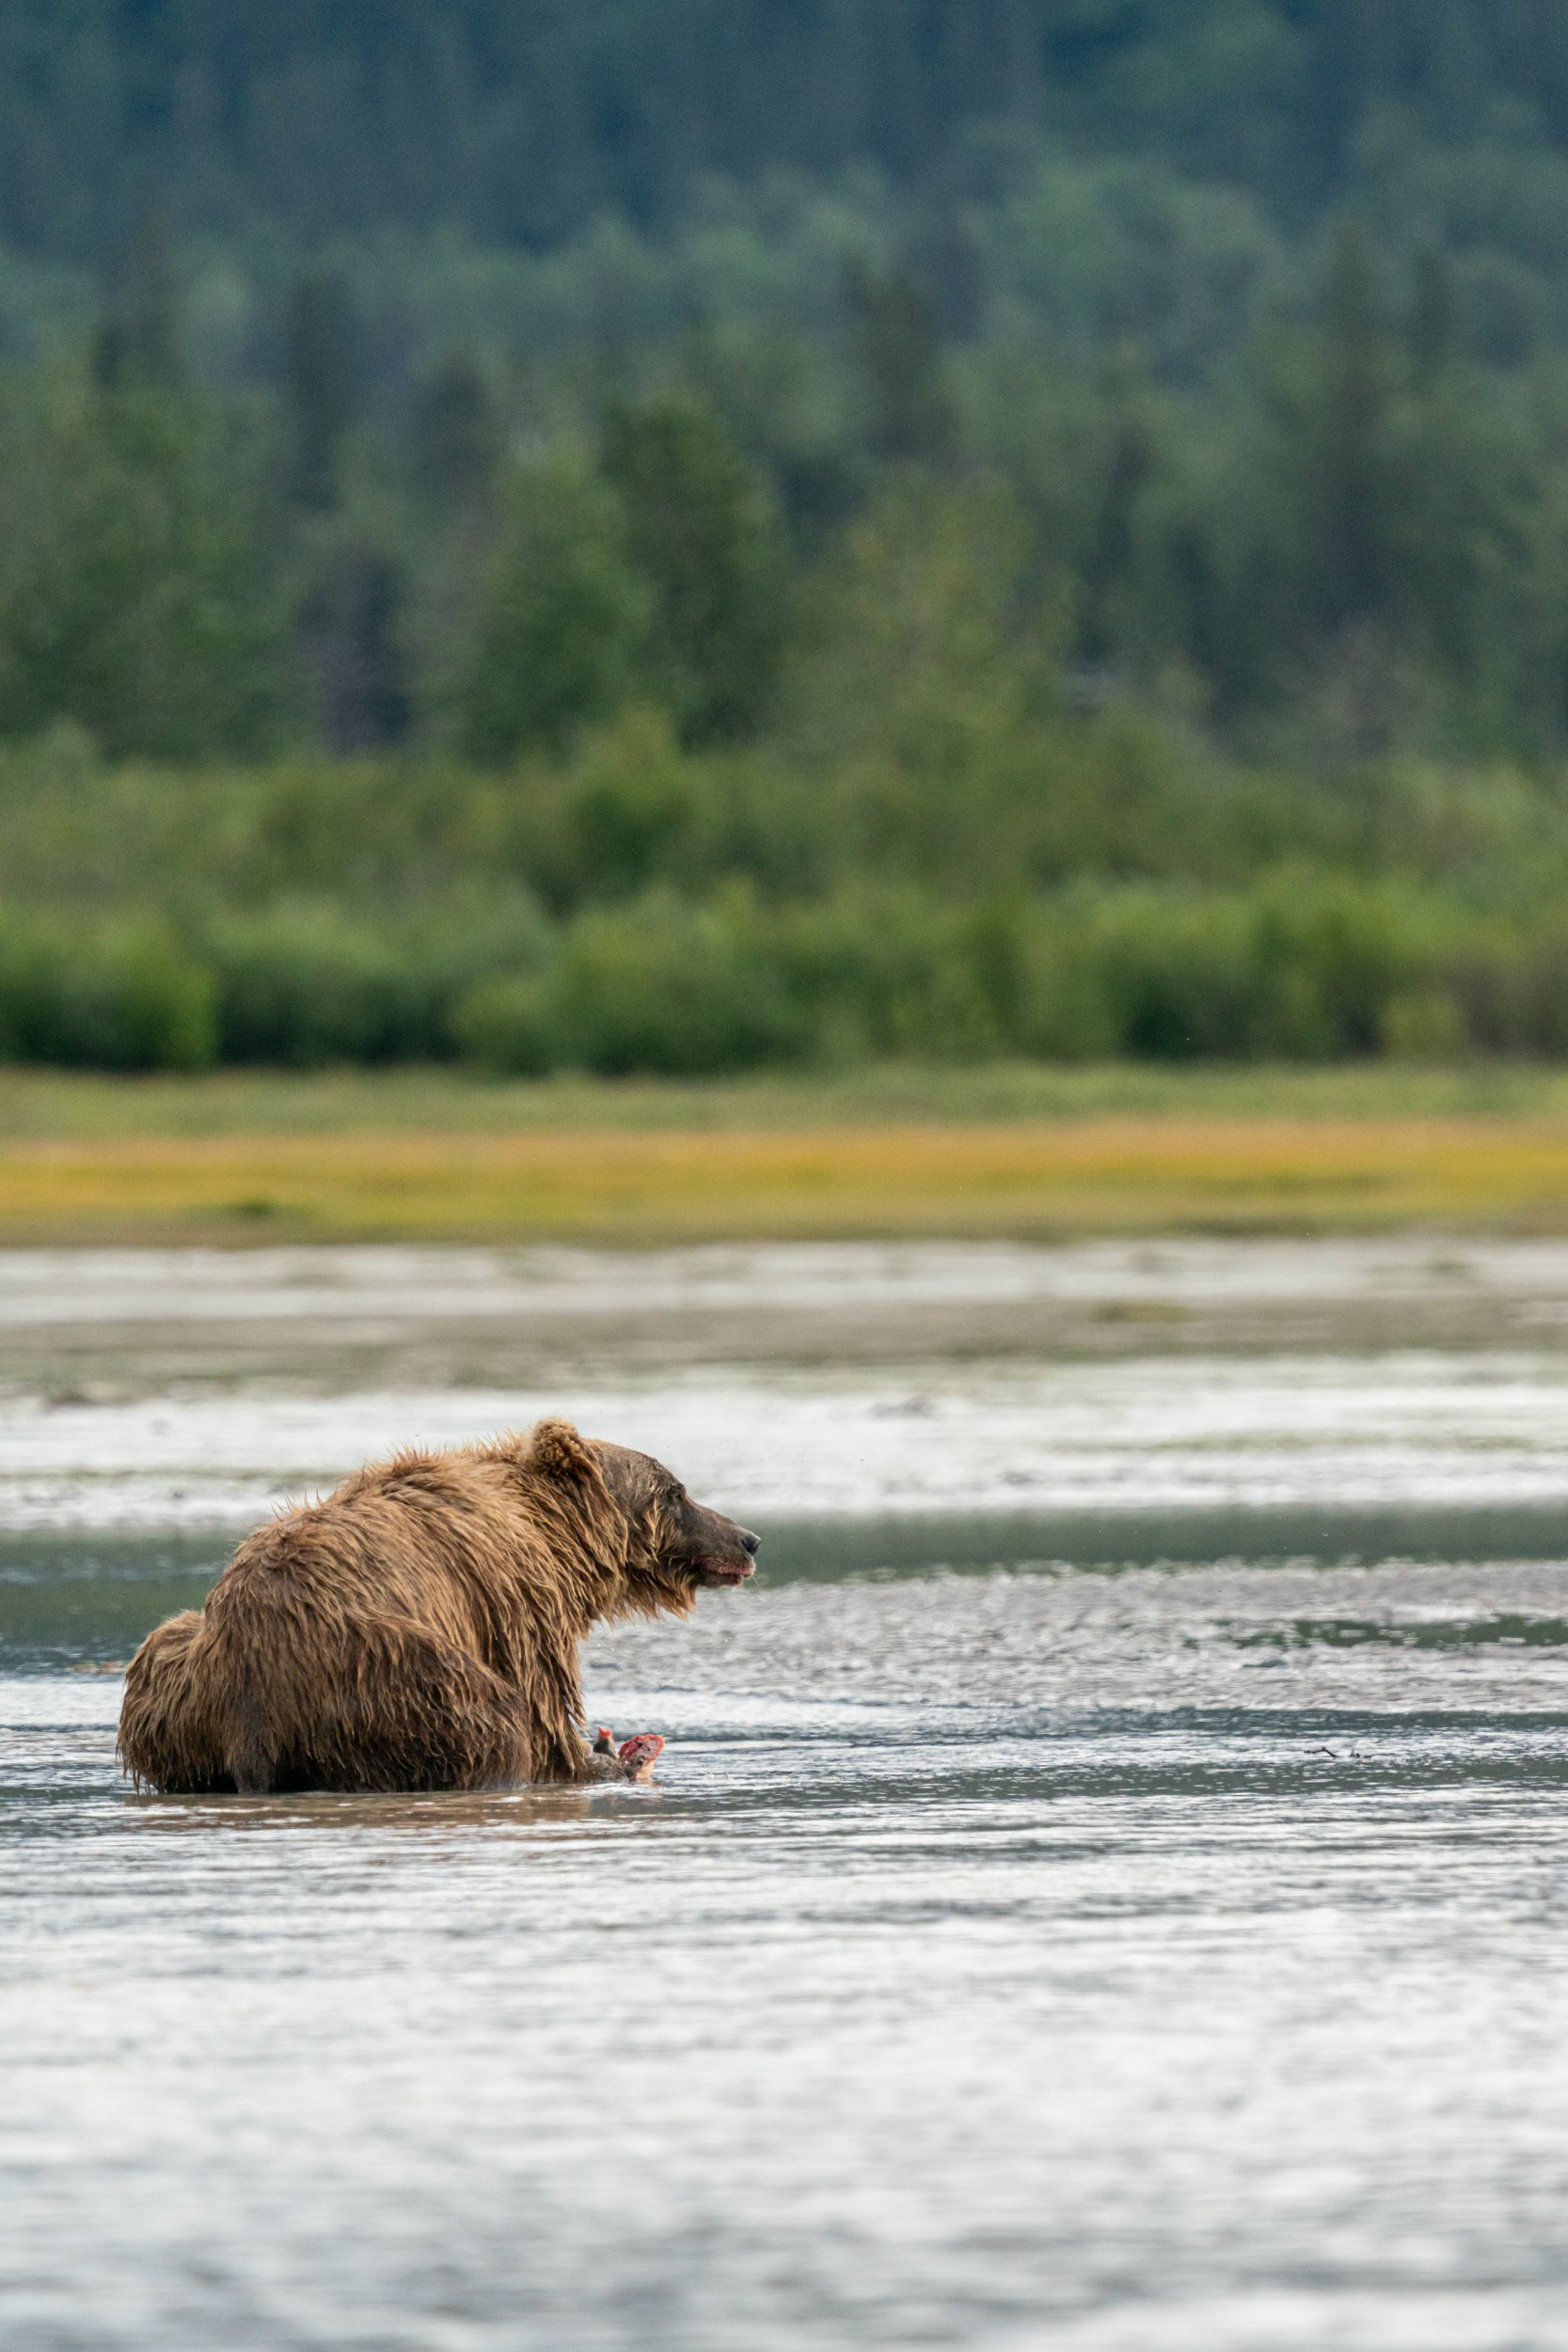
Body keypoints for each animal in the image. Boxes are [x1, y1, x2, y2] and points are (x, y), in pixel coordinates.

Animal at [117, 1417, 758, 1796]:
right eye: (674, 1491)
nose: (748, 1539)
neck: (558, 1536)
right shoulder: (514, 1601)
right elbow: (543, 1708)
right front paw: (596, 1759)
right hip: (391, 1670)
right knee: (490, 1721)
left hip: (171, 1686)